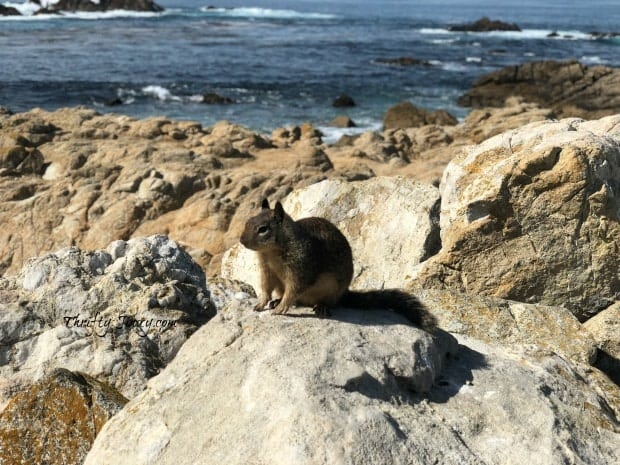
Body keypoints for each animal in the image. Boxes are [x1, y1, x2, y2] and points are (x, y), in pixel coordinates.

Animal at [237, 198, 436, 332]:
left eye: (263, 229)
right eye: (247, 222)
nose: (241, 241)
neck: (272, 252)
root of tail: (344, 293)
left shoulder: (303, 265)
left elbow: (294, 288)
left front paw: (281, 307)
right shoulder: (266, 270)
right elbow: (265, 287)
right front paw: (262, 303)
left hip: (332, 289)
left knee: (326, 302)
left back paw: (322, 307)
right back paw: (277, 300)